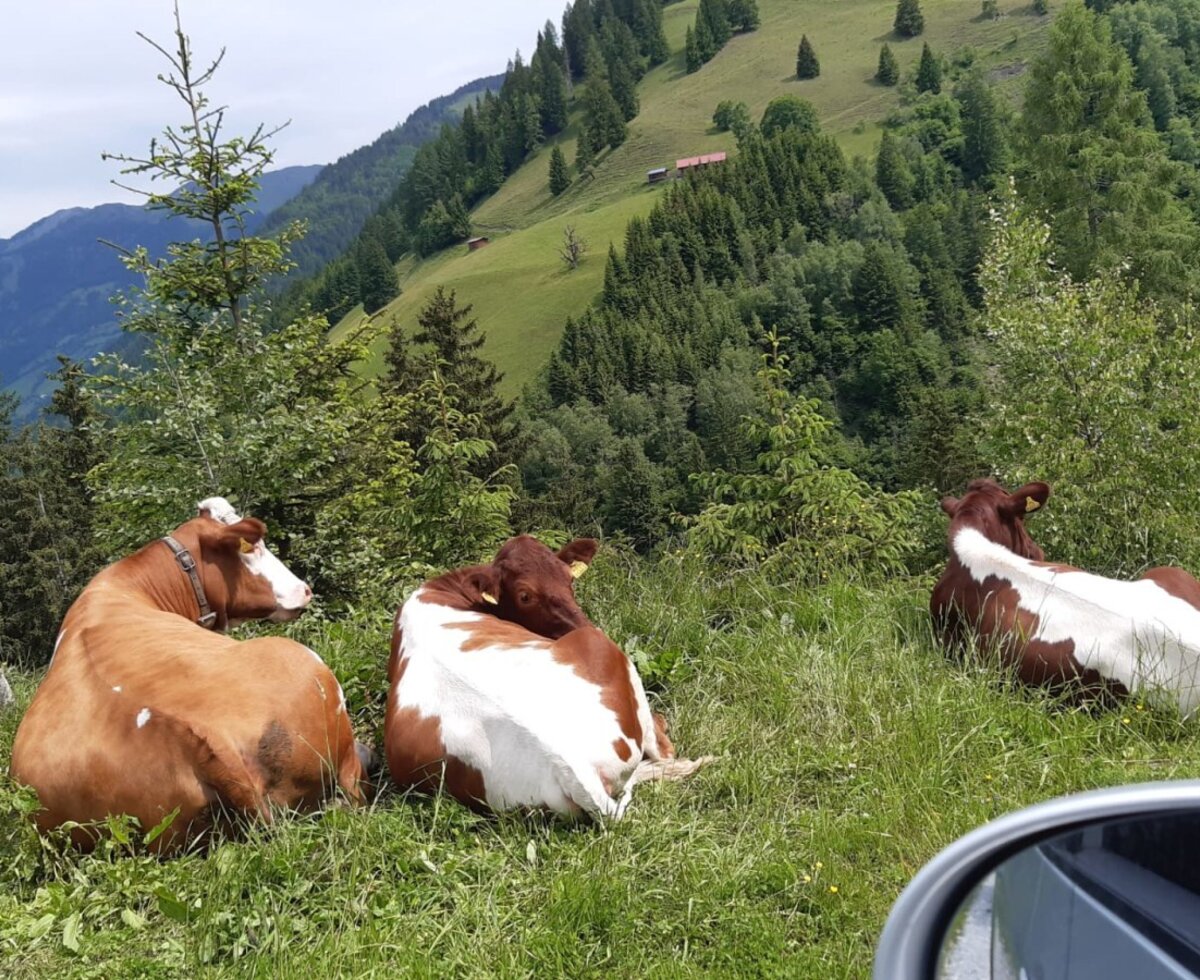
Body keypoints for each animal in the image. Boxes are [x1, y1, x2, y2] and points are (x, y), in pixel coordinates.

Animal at [385, 535, 710, 819]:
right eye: (525, 595)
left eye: (570, 581)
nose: (579, 622)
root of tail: (571, 764)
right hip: (603, 647)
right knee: (662, 750)